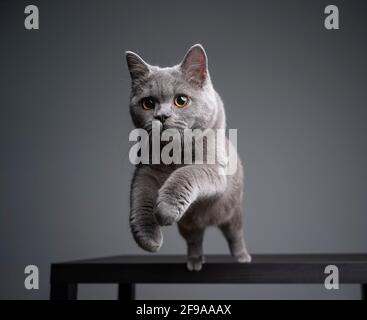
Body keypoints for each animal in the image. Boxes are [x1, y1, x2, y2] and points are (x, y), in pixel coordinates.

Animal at [125, 44, 252, 270]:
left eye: (181, 100)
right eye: (148, 103)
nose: (161, 116)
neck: (175, 155)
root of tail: (208, 221)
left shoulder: (213, 168)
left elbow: (186, 173)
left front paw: (165, 210)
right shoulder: (145, 171)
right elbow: (140, 198)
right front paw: (148, 239)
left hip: (232, 212)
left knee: (235, 235)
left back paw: (242, 257)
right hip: (189, 225)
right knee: (195, 240)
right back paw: (194, 261)